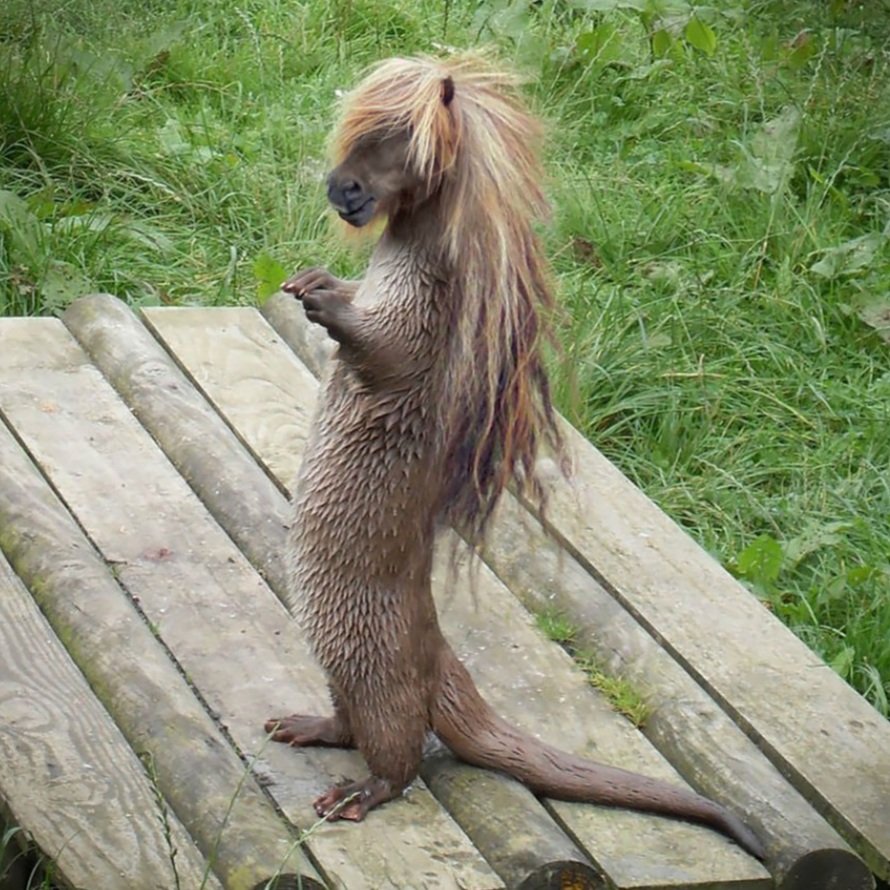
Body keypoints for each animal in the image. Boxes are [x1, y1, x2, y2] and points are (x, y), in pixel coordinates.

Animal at [265, 55, 765, 861]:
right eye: (352, 137)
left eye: (394, 144)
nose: (341, 188)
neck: (410, 265)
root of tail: (440, 659)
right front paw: (315, 280)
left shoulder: (425, 325)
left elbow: (383, 348)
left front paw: (327, 302)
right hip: (341, 658)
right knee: (350, 721)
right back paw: (303, 724)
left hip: (375, 662)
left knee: (400, 752)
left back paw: (354, 794)